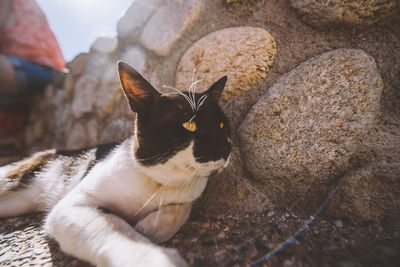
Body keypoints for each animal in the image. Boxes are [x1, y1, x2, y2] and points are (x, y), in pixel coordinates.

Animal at [0, 62, 231, 267]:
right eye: (189, 125)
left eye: (222, 125)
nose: (225, 148)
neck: (159, 182)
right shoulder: (72, 206)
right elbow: (113, 230)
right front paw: (154, 258)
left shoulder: (187, 195)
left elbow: (184, 208)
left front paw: (149, 226)